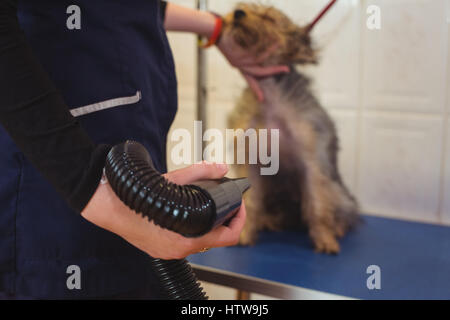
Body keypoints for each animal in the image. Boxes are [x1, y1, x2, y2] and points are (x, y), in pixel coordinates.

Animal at [225, 1, 358, 252]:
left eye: (268, 18)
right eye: (243, 7)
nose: (237, 13)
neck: (269, 95)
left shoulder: (312, 164)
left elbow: (317, 204)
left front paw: (324, 238)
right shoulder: (250, 163)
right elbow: (251, 202)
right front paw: (245, 233)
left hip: (337, 192)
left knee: (341, 210)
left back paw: (337, 227)